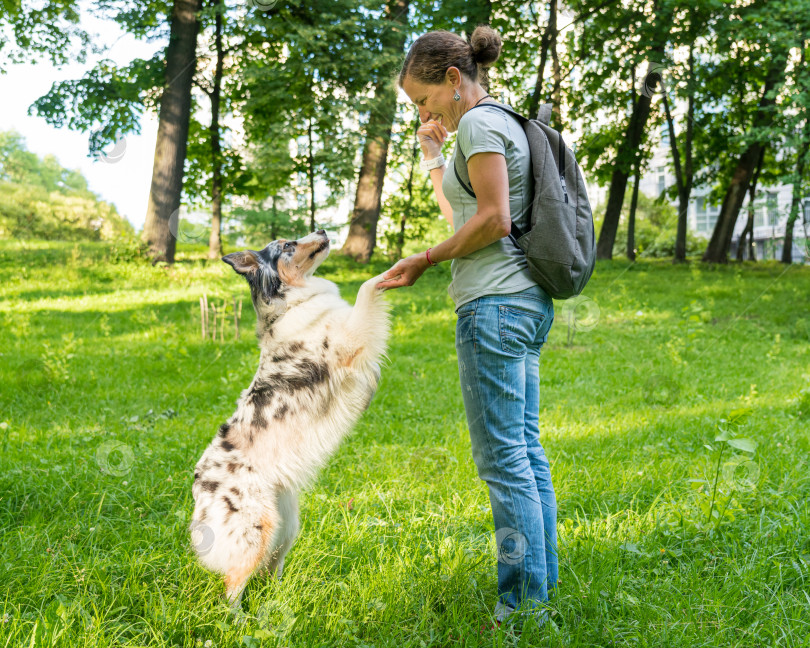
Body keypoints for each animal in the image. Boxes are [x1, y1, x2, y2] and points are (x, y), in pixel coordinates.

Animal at [191, 230, 390, 612]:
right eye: (286, 245)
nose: (323, 230)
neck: (292, 302)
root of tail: (199, 483)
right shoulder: (350, 341)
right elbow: (366, 288)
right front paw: (393, 273)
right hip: (256, 528)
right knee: (232, 586)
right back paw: (240, 620)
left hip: (286, 526)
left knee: (271, 571)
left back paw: (282, 600)